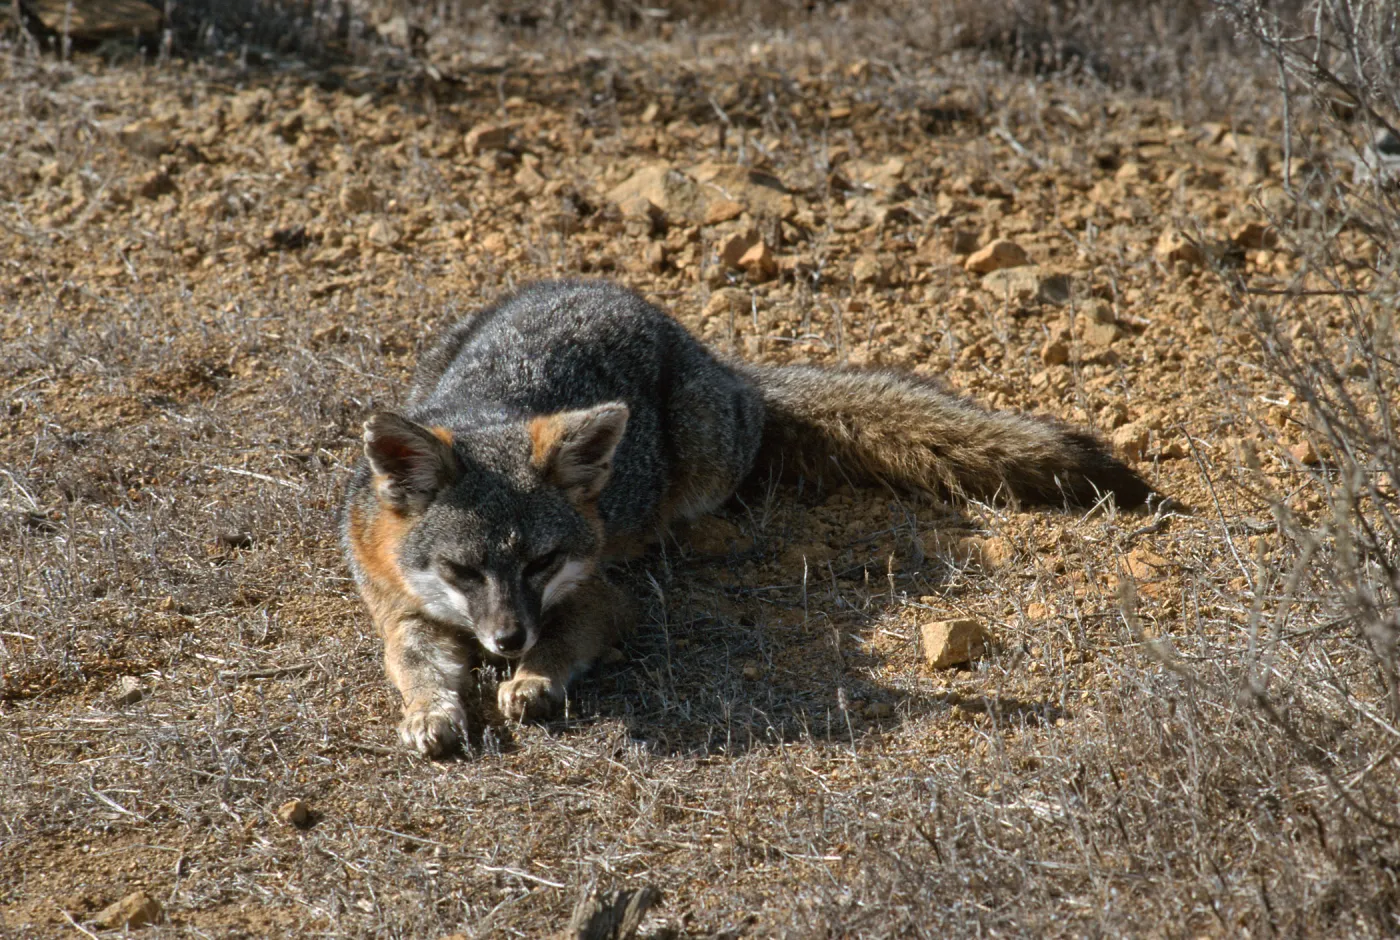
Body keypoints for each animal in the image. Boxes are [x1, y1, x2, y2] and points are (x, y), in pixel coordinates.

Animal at [342, 279, 1151, 757]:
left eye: (541, 563)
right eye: (463, 570)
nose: (508, 640)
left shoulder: (600, 594)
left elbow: (571, 636)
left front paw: (534, 680)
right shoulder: (399, 605)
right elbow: (413, 663)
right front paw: (430, 711)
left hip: (709, 454)